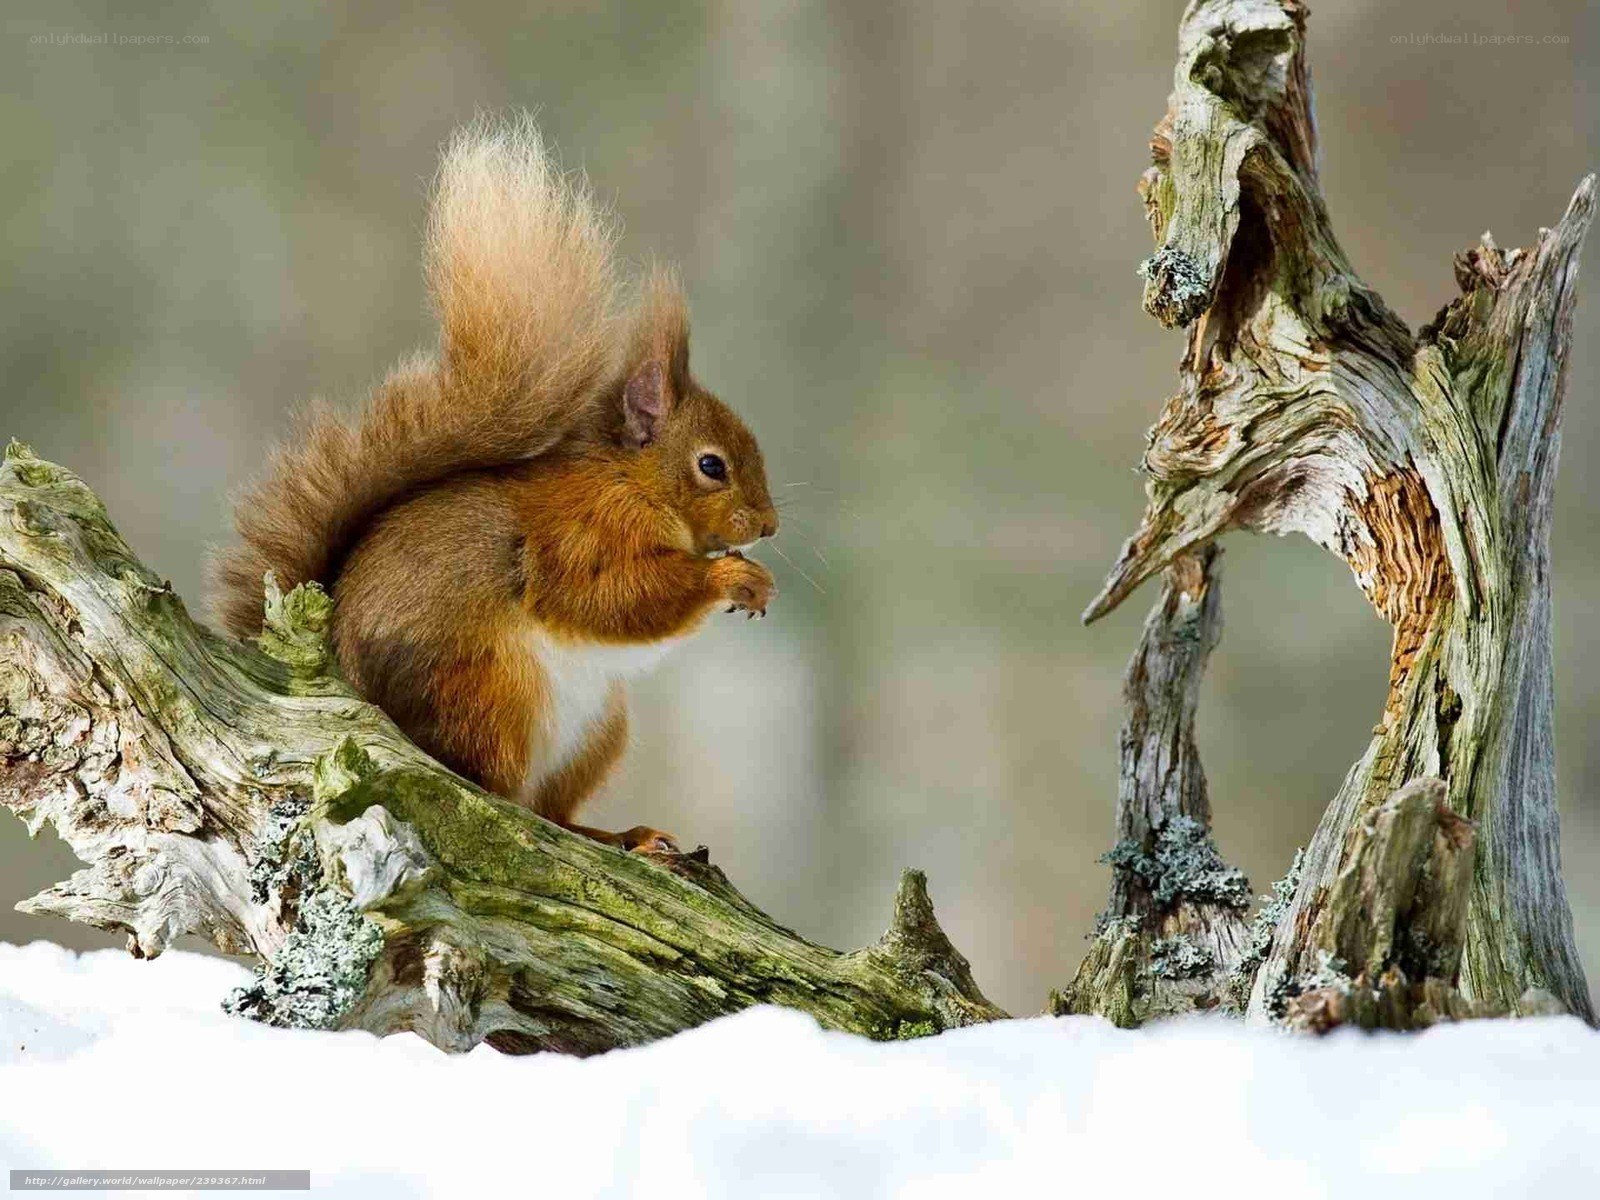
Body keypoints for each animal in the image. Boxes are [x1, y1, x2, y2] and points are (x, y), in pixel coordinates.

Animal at [210, 116, 778, 853]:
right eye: (712, 466)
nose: (768, 527)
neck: (630, 481)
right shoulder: (578, 533)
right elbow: (614, 597)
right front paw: (732, 578)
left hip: (597, 730)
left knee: (550, 809)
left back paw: (620, 836)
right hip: (491, 693)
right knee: (497, 791)